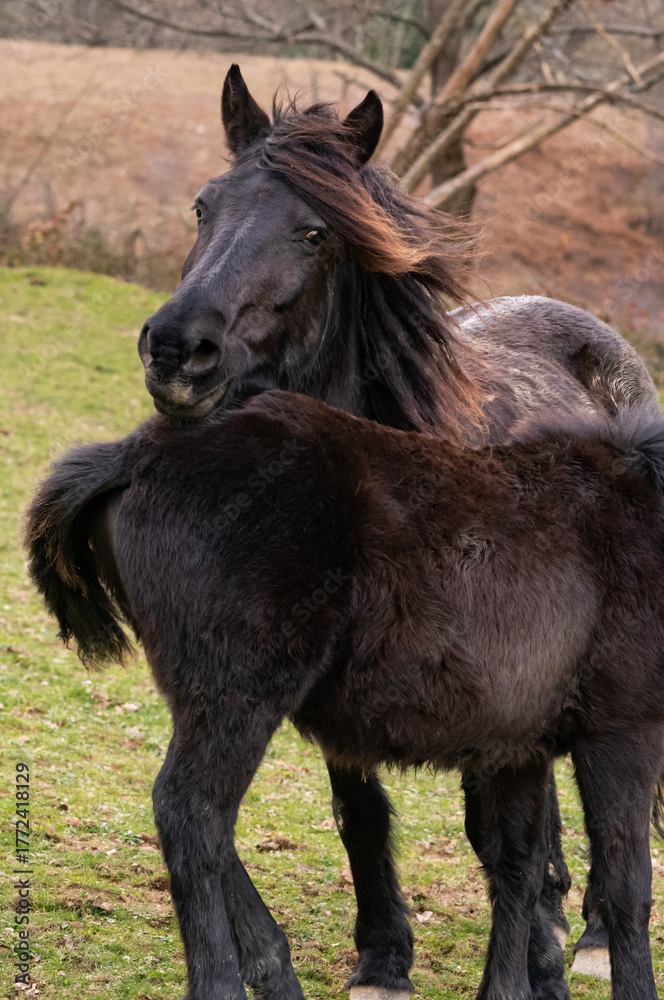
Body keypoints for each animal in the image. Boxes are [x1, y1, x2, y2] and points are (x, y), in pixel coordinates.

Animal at [25, 390, 664, 1000]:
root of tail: (142, 449)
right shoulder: (622, 734)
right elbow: (627, 887)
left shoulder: (518, 748)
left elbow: (518, 868)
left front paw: (507, 990)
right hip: (237, 699)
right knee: (192, 811)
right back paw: (224, 984)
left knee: (206, 823)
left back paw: (277, 975)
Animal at [134, 63, 660, 992]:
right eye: (203, 206)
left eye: (313, 232)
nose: (177, 350)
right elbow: (360, 808)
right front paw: (384, 952)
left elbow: (497, 832)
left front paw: (534, 954)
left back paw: (588, 933)